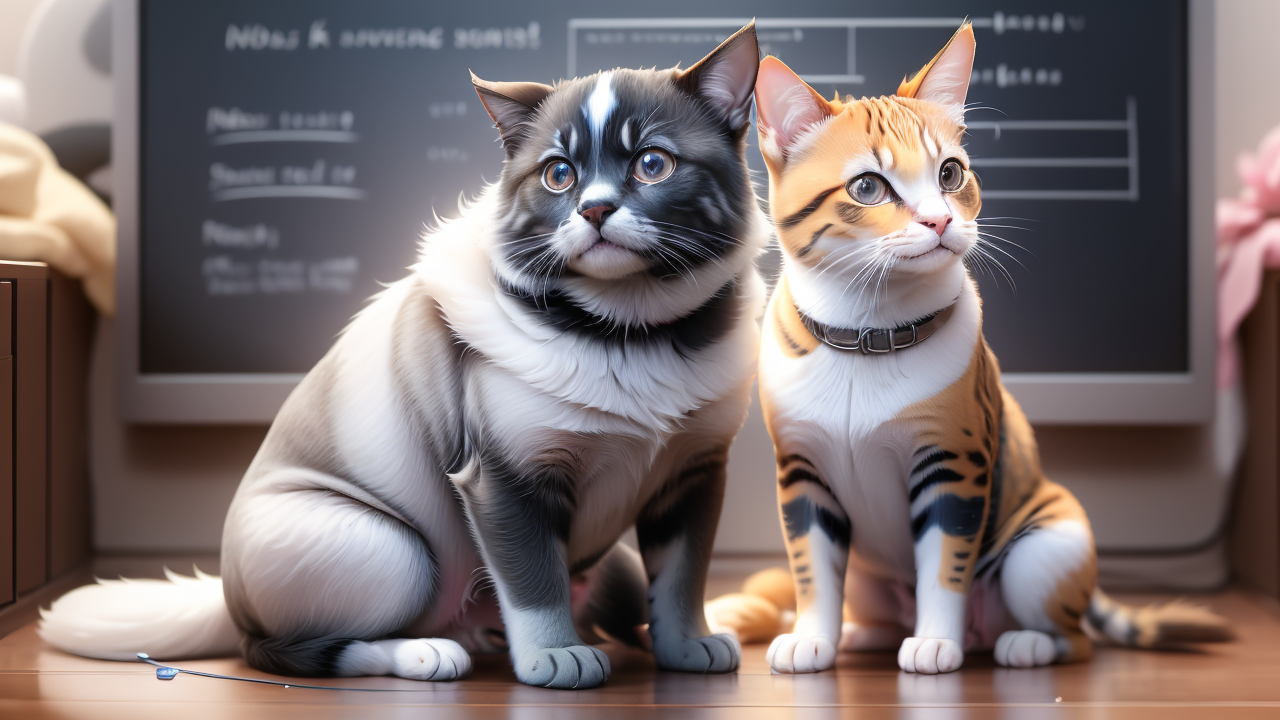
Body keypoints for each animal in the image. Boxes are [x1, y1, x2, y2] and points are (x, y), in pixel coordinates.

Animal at [42, 23, 768, 691]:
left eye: (653, 164)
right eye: (558, 175)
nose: (593, 209)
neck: (628, 329)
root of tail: (226, 597)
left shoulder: (694, 475)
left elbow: (681, 574)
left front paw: (686, 644)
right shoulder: (505, 480)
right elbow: (535, 578)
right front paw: (554, 656)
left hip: (608, 566)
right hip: (389, 552)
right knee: (291, 650)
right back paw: (424, 654)